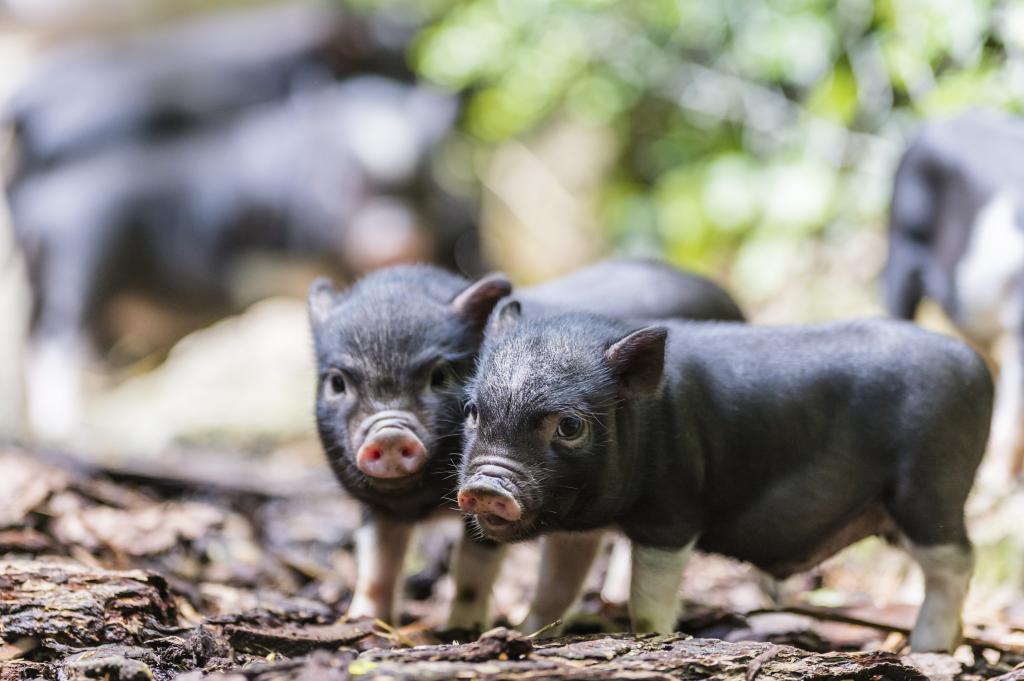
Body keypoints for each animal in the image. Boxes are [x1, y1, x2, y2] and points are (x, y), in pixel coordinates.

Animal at [303, 258, 745, 630]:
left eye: (439, 376)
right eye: (337, 382)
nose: (390, 433)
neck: (424, 503)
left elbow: (471, 570)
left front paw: (461, 632)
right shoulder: (379, 506)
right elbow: (377, 565)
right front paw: (360, 622)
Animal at [460, 311, 987, 651]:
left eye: (569, 425)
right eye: (472, 411)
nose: (486, 487)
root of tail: (978, 367)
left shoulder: (672, 513)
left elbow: (647, 598)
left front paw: (652, 639)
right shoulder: (577, 528)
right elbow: (554, 587)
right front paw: (522, 634)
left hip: (931, 491)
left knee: (957, 563)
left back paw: (927, 650)